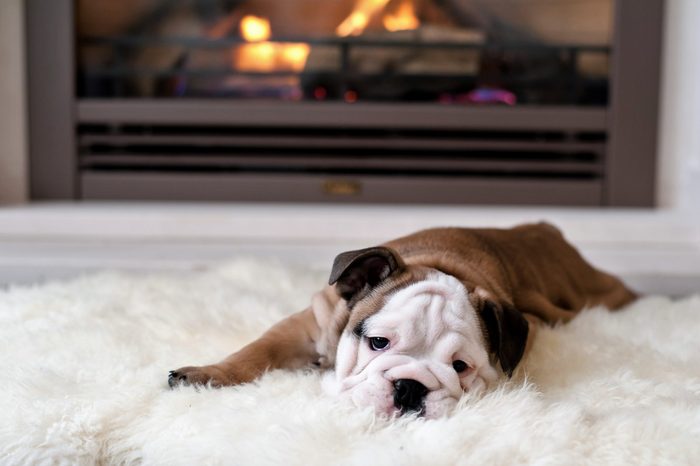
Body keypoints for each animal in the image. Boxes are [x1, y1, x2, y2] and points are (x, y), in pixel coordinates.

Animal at [170, 223, 640, 418]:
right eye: (378, 343)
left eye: (460, 367)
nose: (411, 387)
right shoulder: (308, 325)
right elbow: (256, 351)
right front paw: (207, 375)